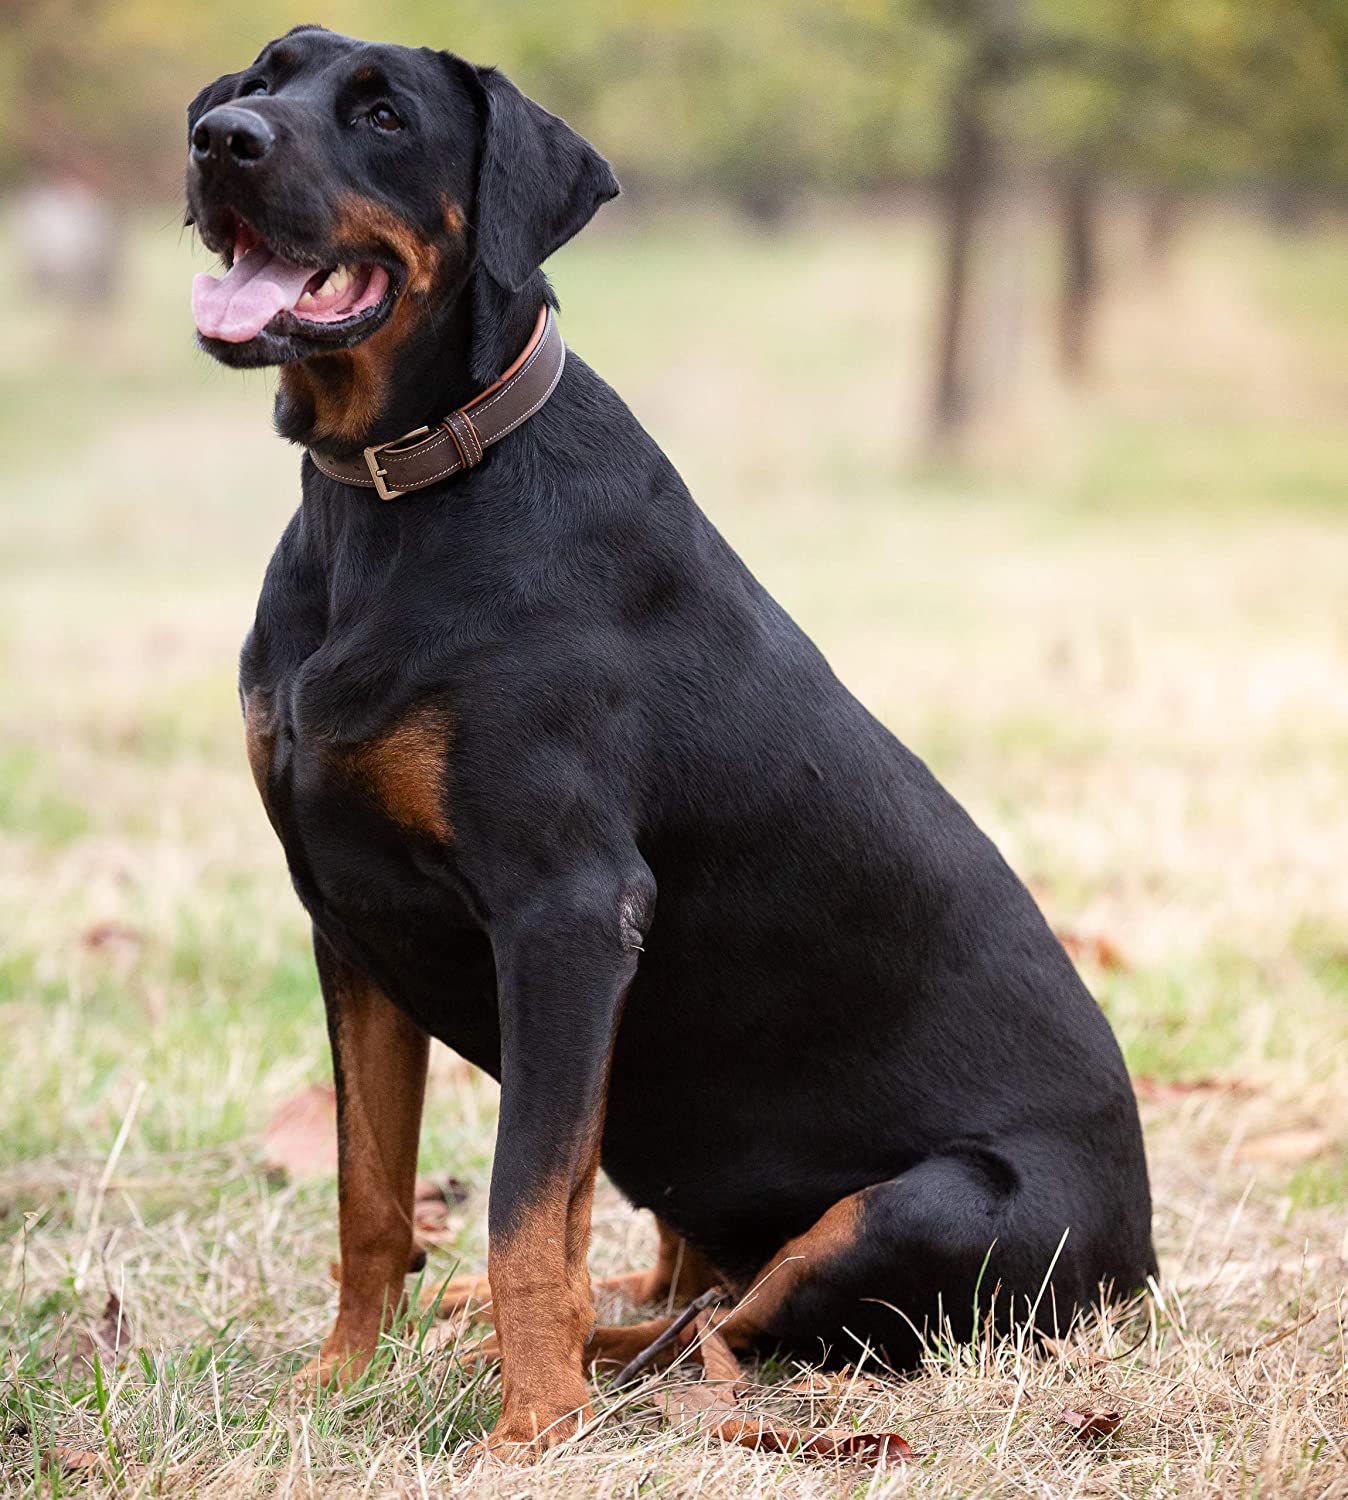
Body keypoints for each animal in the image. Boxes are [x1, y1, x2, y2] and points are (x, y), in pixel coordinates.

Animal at [187, 20, 1157, 1452]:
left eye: (383, 113)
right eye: (262, 77)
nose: (220, 141)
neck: (395, 496)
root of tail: (1143, 1265)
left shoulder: (569, 911)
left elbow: (523, 1205)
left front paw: (530, 1432)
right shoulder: (348, 918)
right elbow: (372, 1190)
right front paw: (338, 1382)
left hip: (927, 1207)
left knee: (725, 1329)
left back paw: (583, 1368)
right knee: (683, 1282)